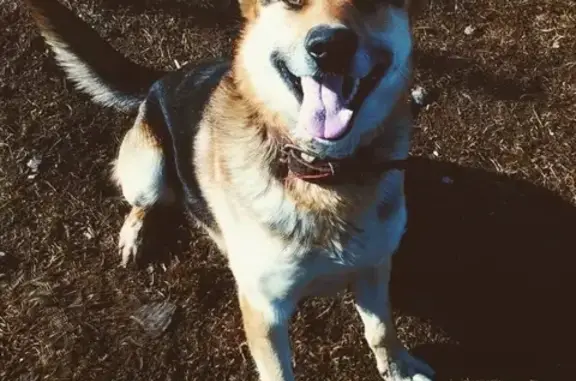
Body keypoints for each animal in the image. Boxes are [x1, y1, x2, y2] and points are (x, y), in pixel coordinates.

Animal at [25, 0, 432, 380]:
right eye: (293, 2)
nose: (330, 47)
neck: (322, 175)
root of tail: (166, 76)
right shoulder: (264, 309)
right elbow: (278, 371)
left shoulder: (374, 268)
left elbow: (381, 330)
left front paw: (397, 368)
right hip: (149, 173)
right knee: (145, 200)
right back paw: (135, 232)